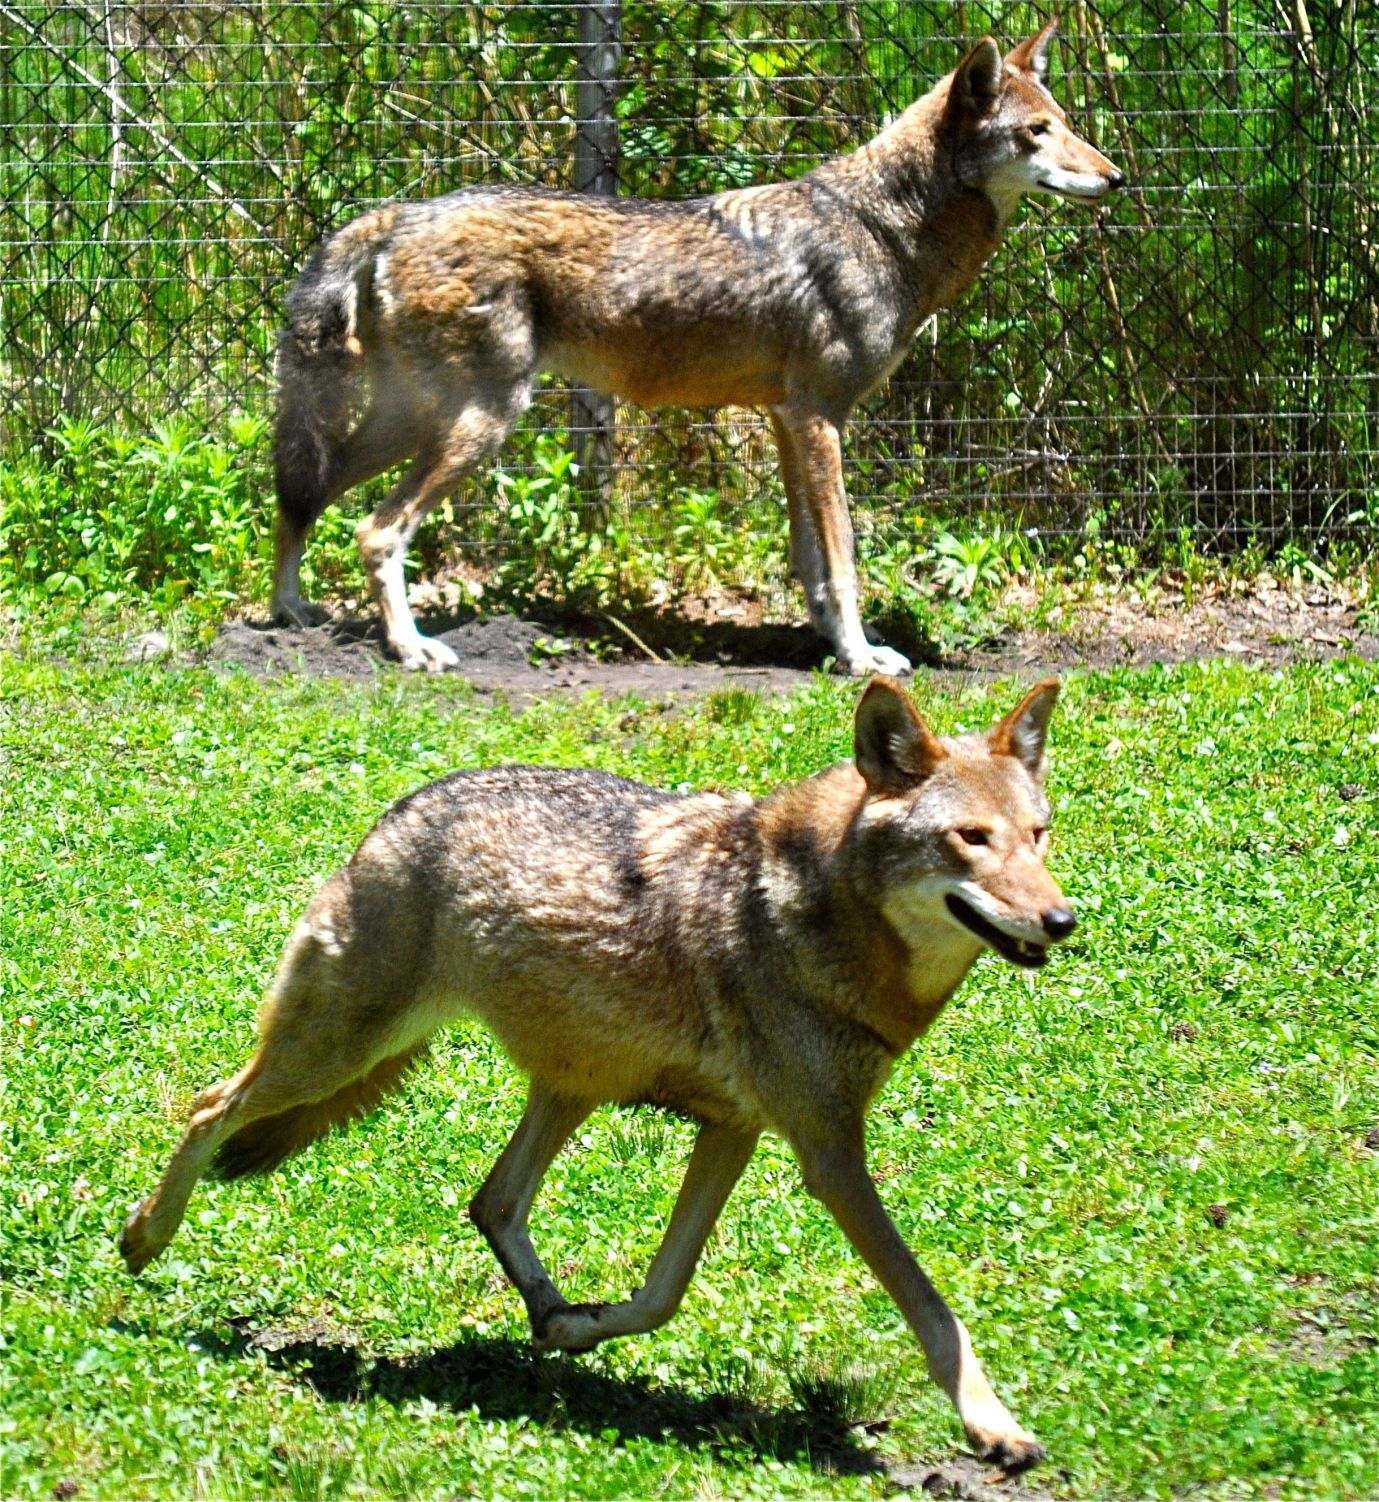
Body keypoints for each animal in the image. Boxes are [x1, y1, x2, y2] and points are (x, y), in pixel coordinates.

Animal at [121, 675, 1077, 1469]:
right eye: (969, 840)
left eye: (1038, 837)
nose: (1062, 919)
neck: (821, 917)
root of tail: (400, 810)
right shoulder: (830, 1157)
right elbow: (934, 1314)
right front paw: (994, 1429)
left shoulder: (734, 1129)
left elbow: (664, 1292)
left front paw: (576, 1326)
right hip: (334, 1056)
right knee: (207, 1109)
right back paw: (143, 1240)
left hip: (562, 1086)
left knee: (491, 1200)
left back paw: (545, 1310)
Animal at [269, 19, 1121, 675]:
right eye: (1035, 133)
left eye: (1066, 122)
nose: (1115, 177)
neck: (887, 227)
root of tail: (401, 213)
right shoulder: (820, 419)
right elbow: (845, 559)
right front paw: (861, 659)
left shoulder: (786, 423)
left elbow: (811, 562)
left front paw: (826, 645)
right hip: (479, 422)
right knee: (376, 529)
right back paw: (410, 649)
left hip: (420, 422)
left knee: (305, 491)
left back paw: (289, 613)